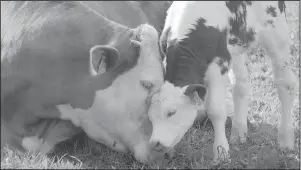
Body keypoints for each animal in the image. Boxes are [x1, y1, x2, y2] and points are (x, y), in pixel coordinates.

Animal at [146, 0, 296, 163]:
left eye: (171, 112)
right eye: (150, 117)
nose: (155, 143)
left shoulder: (218, 63)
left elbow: (215, 110)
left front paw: (221, 152)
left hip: (276, 31)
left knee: (286, 84)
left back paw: (286, 140)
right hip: (236, 47)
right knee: (240, 84)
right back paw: (239, 133)